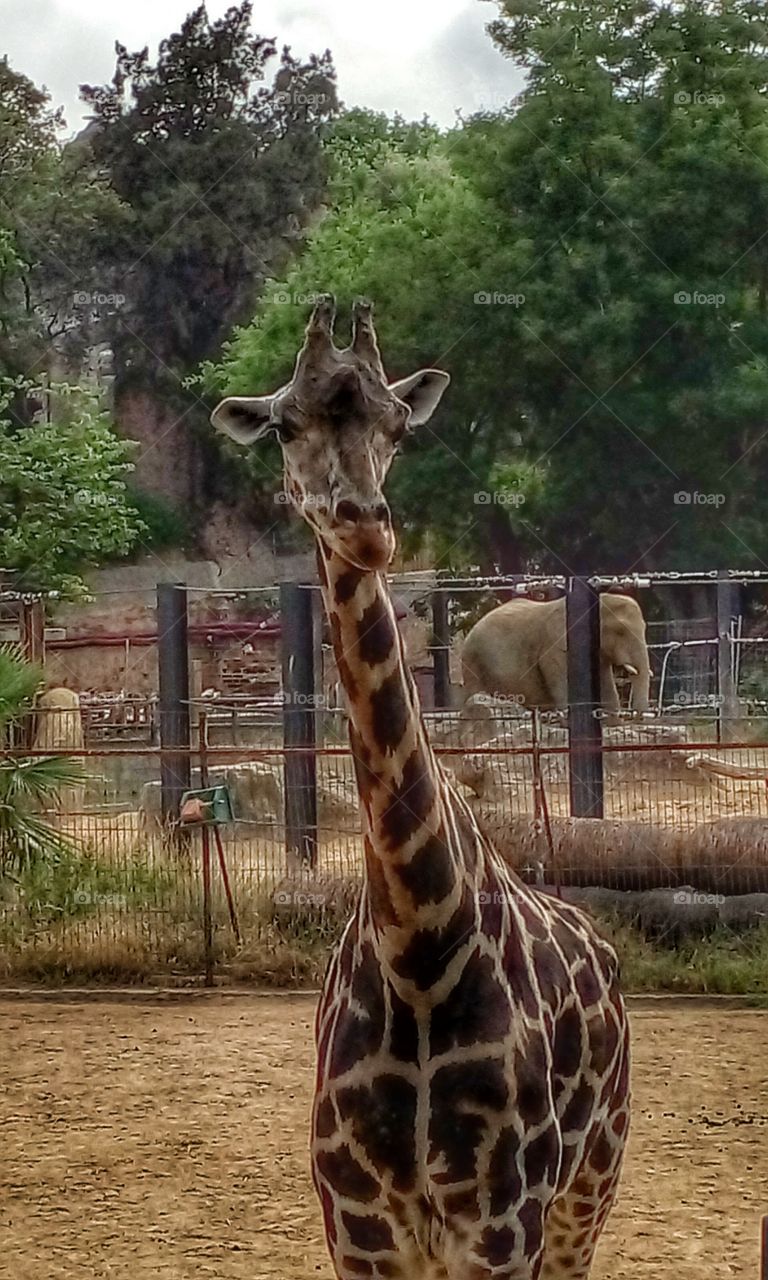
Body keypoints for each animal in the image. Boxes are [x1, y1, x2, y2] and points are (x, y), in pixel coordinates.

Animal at [211, 296, 630, 1280]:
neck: (419, 945)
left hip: (586, 1191)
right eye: (284, 424)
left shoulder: (500, 1223)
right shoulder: (359, 1228)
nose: (367, 524)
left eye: (398, 425)